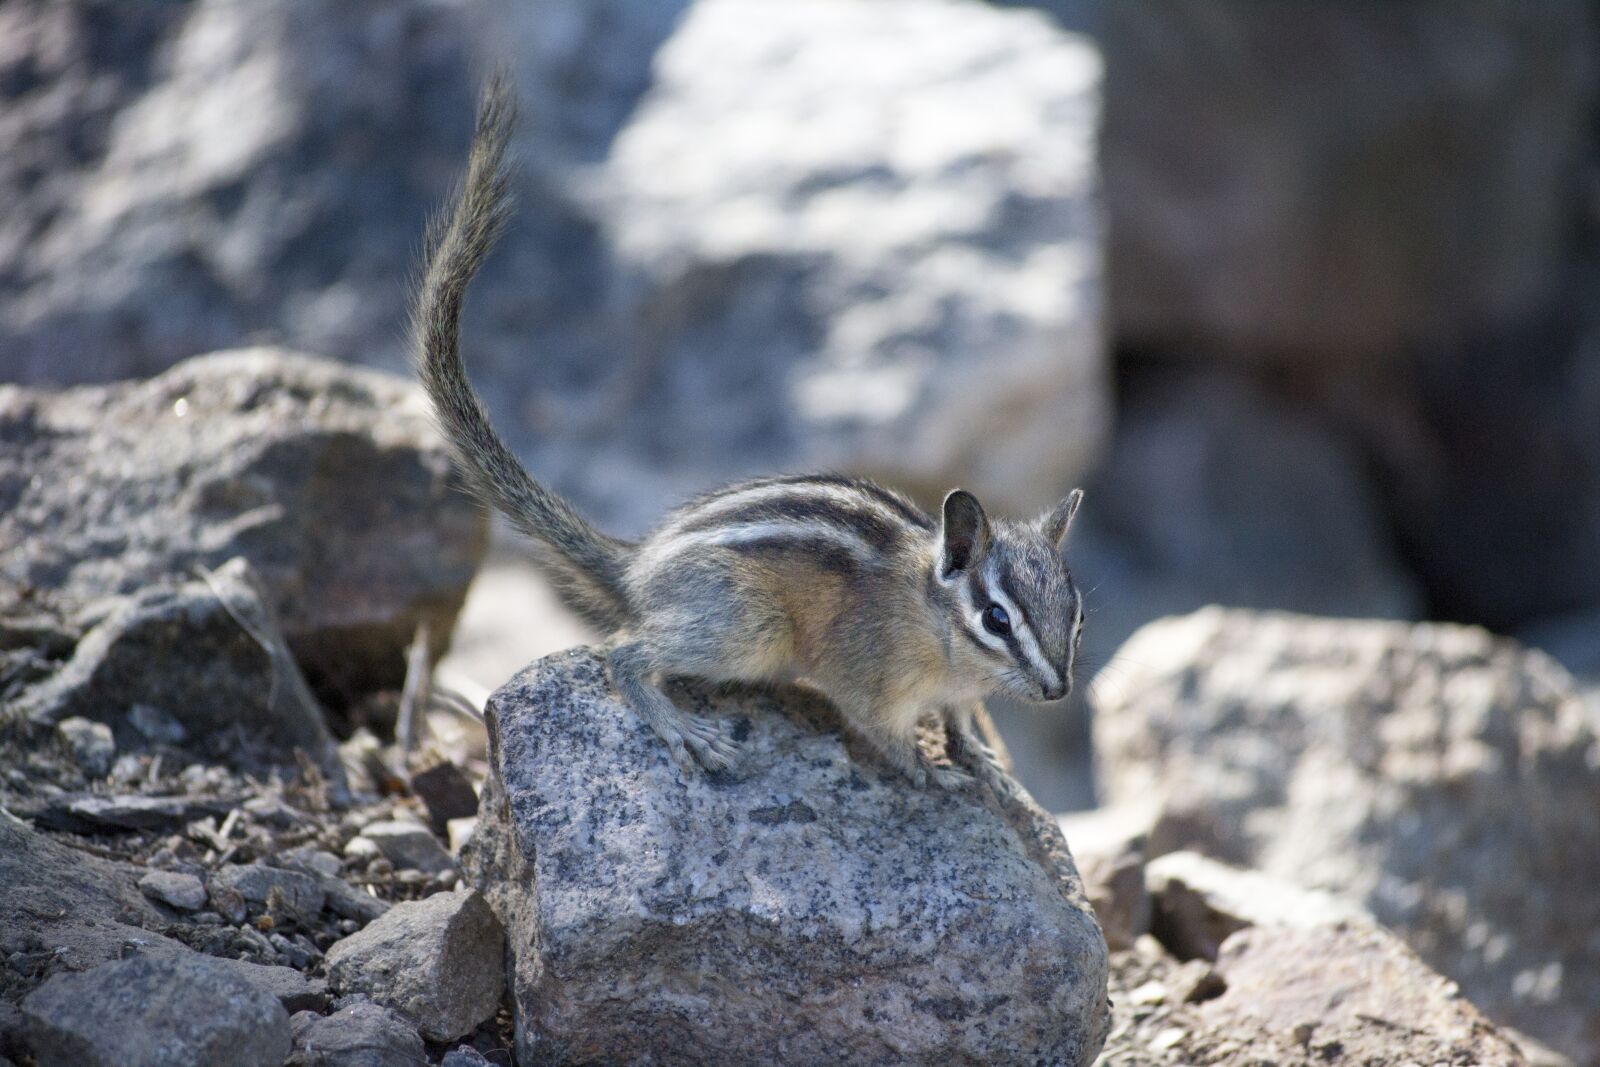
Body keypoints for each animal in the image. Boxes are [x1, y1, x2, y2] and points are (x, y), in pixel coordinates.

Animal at [412, 73, 1086, 791]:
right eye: (996, 618)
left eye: (1076, 614)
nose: (1057, 691)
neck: (937, 621)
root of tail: (638, 567)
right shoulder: (870, 682)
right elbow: (888, 737)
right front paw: (934, 775)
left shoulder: (959, 694)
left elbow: (959, 722)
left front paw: (982, 761)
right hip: (746, 628)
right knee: (622, 650)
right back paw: (679, 724)